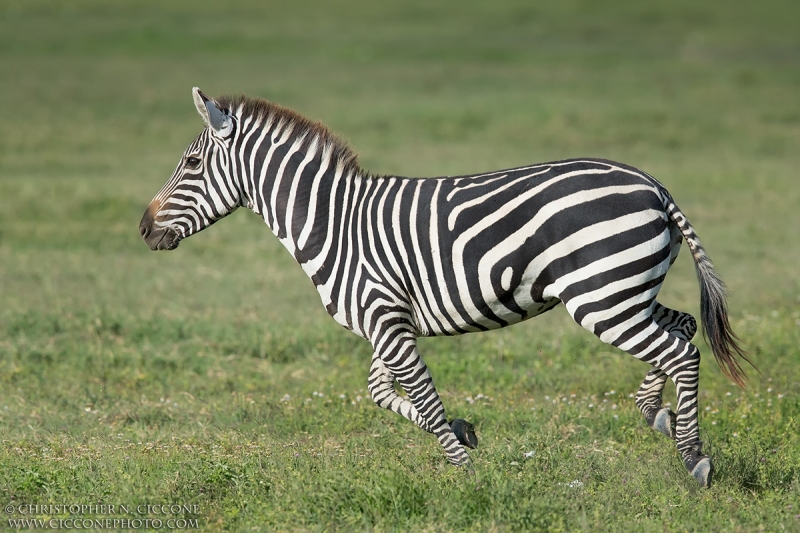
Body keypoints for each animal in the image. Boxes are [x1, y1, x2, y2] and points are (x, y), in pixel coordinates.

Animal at [141, 87, 752, 486]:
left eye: (191, 164)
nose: (143, 229)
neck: (332, 222)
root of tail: (653, 185)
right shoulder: (385, 321)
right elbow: (382, 393)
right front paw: (464, 433)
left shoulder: (385, 319)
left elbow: (421, 400)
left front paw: (465, 473)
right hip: (624, 290)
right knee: (683, 329)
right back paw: (658, 414)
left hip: (601, 298)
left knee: (681, 352)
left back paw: (695, 459)